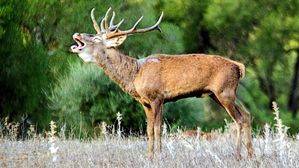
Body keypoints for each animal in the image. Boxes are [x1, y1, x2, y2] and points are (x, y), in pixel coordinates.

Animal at [71, 6, 255, 159]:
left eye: (95, 38)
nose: (77, 34)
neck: (134, 74)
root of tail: (239, 67)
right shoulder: (144, 102)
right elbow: (149, 130)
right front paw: (149, 156)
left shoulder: (157, 97)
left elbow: (158, 128)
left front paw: (159, 155)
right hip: (220, 94)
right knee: (247, 114)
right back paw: (251, 155)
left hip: (224, 91)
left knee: (239, 119)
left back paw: (238, 155)